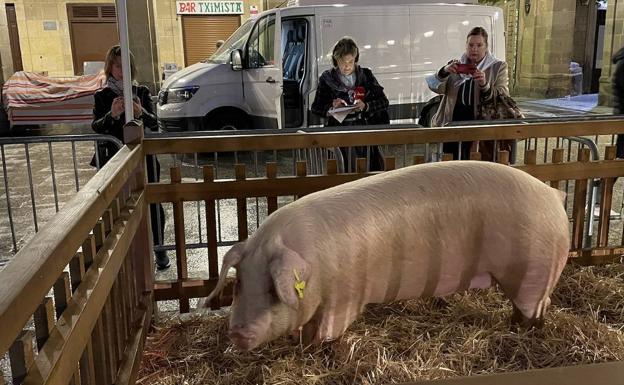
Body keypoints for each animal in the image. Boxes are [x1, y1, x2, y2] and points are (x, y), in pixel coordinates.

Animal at [205, 160, 572, 352]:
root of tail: (553, 195)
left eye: (272, 290)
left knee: (537, 307)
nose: (236, 334)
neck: (316, 269)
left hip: (532, 270)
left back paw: (523, 331)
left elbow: (329, 329)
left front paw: (315, 349)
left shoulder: (345, 296)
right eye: (239, 285)